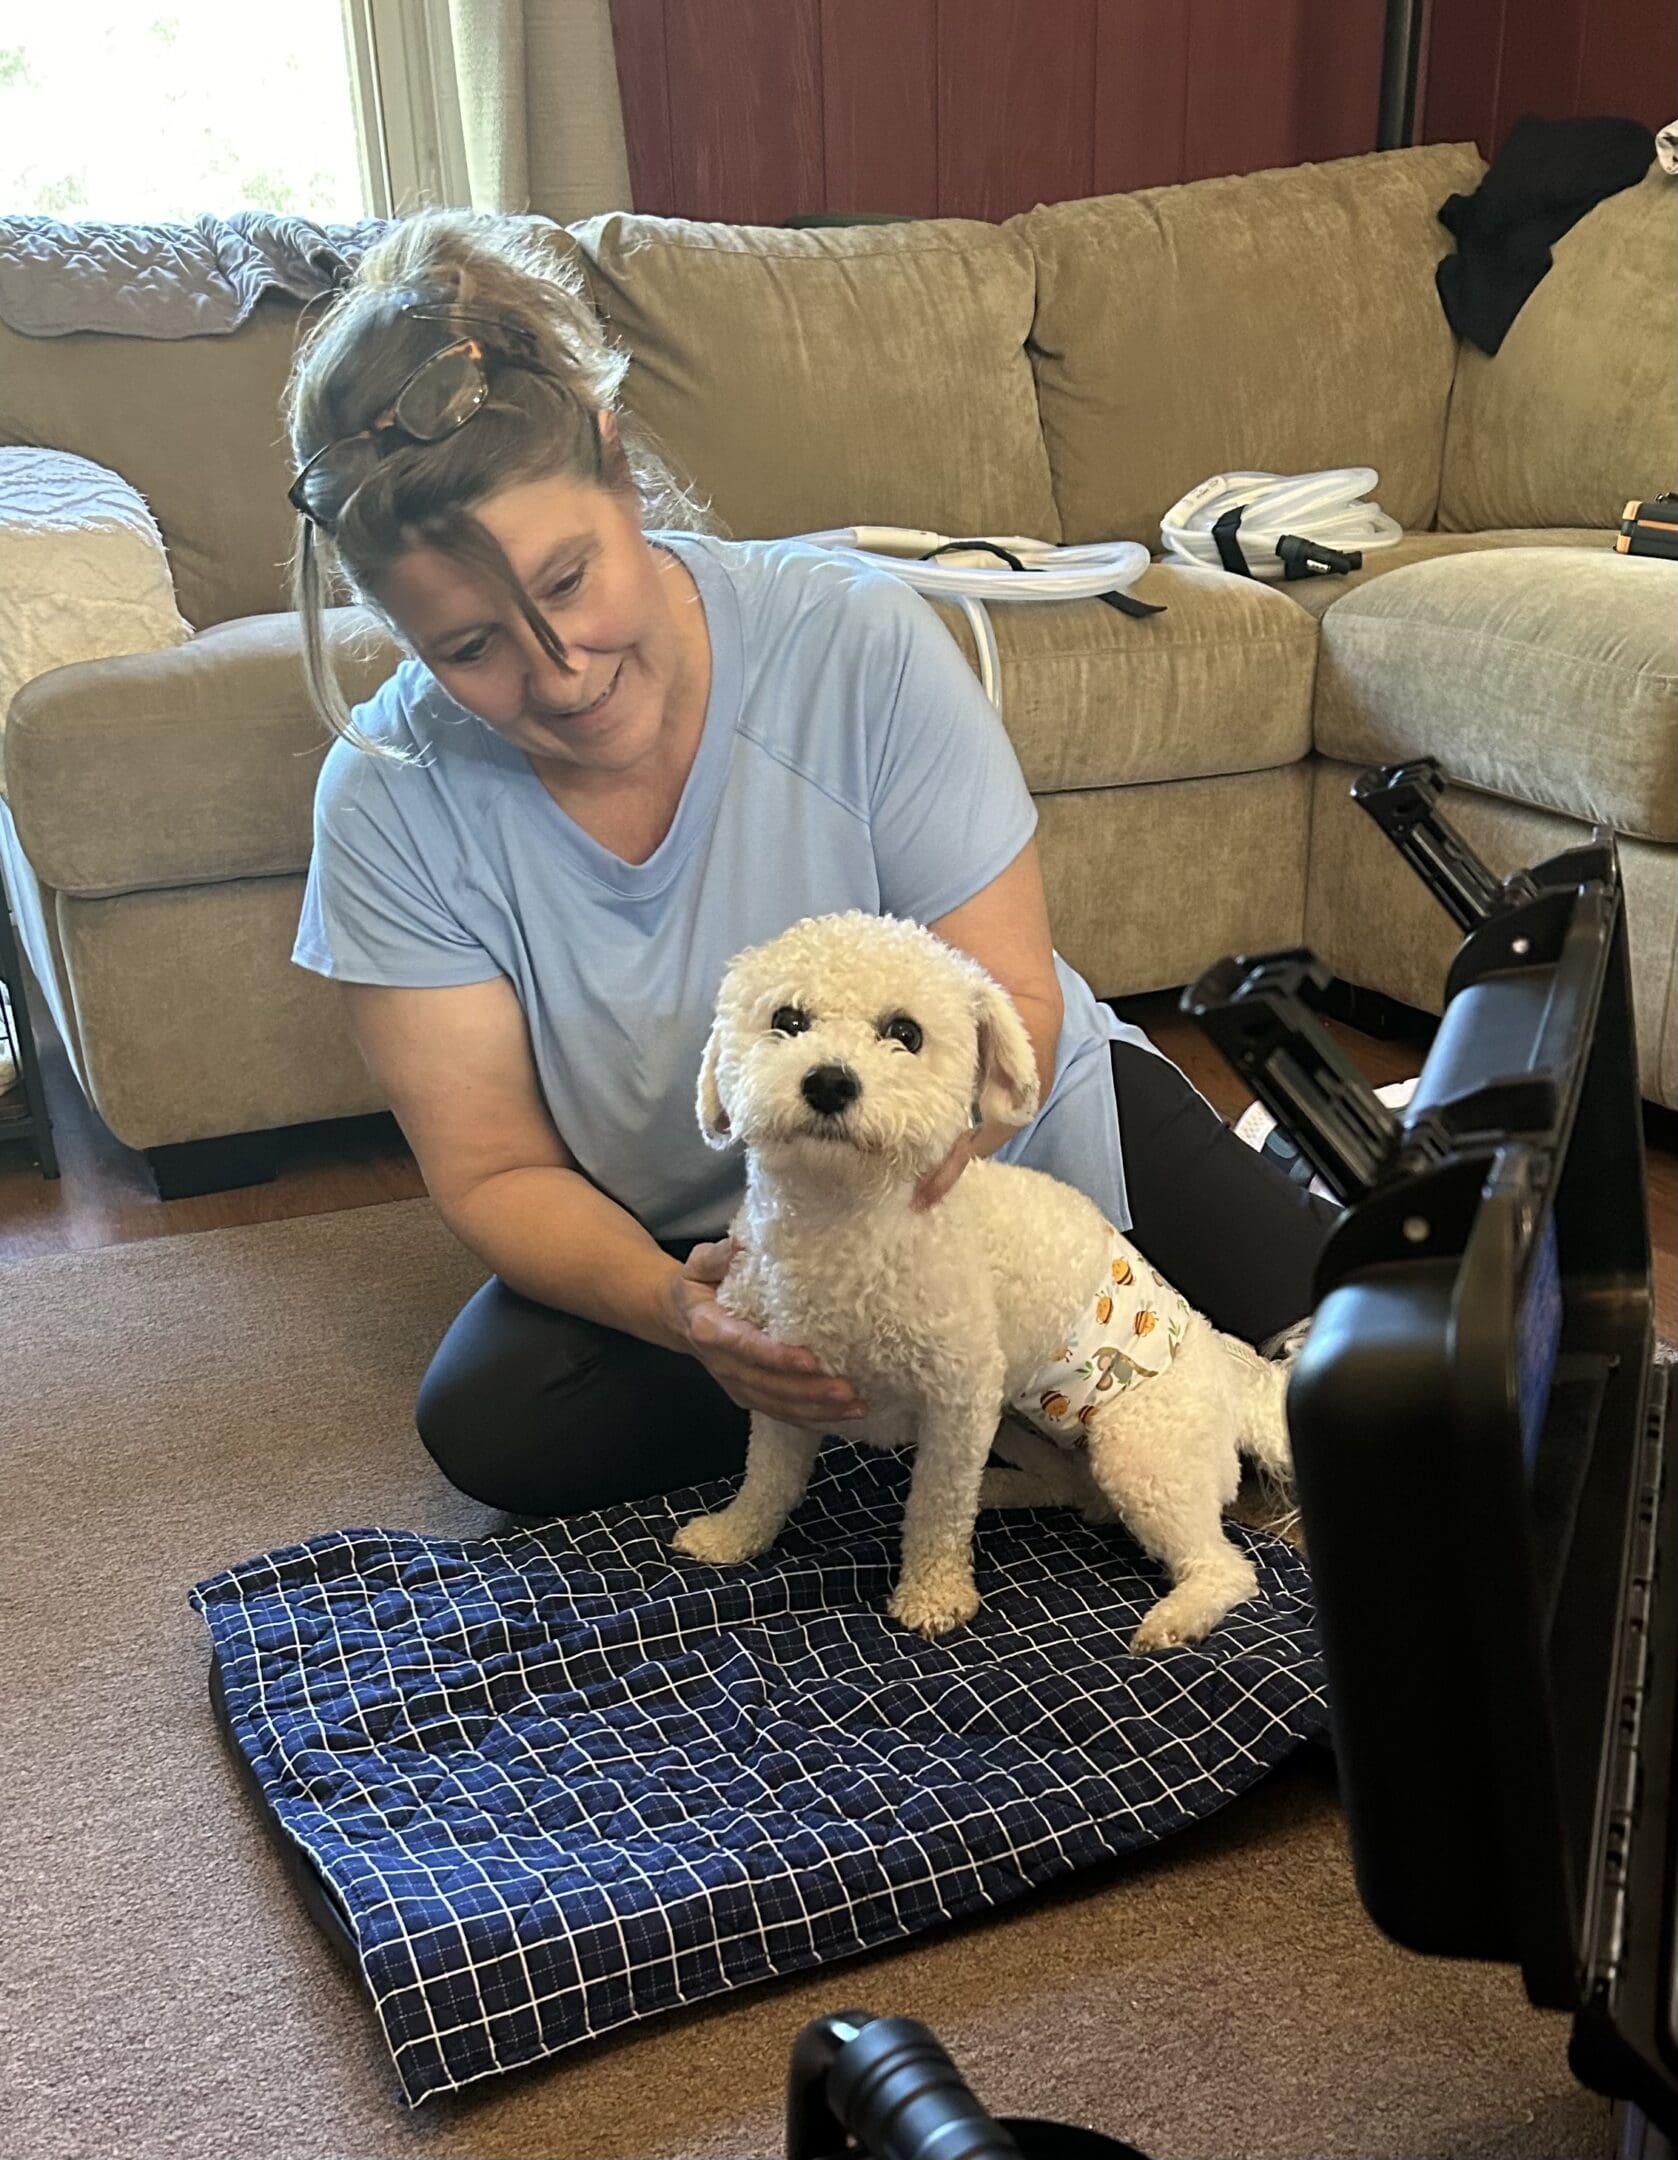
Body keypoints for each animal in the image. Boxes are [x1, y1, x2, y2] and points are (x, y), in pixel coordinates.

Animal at [669, 902, 1295, 1641]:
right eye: (787, 1019)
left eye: (904, 1033)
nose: (828, 1082)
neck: (840, 1221)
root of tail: (1230, 1376)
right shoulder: (780, 1386)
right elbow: (766, 1477)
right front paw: (733, 1534)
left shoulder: (958, 1400)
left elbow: (938, 1508)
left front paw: (935, 1594)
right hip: (1023, 1425)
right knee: (1073, 1490)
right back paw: (999, 1491)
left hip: (1140, 1450)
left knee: (1225, 1565)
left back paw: (1178, 1616)